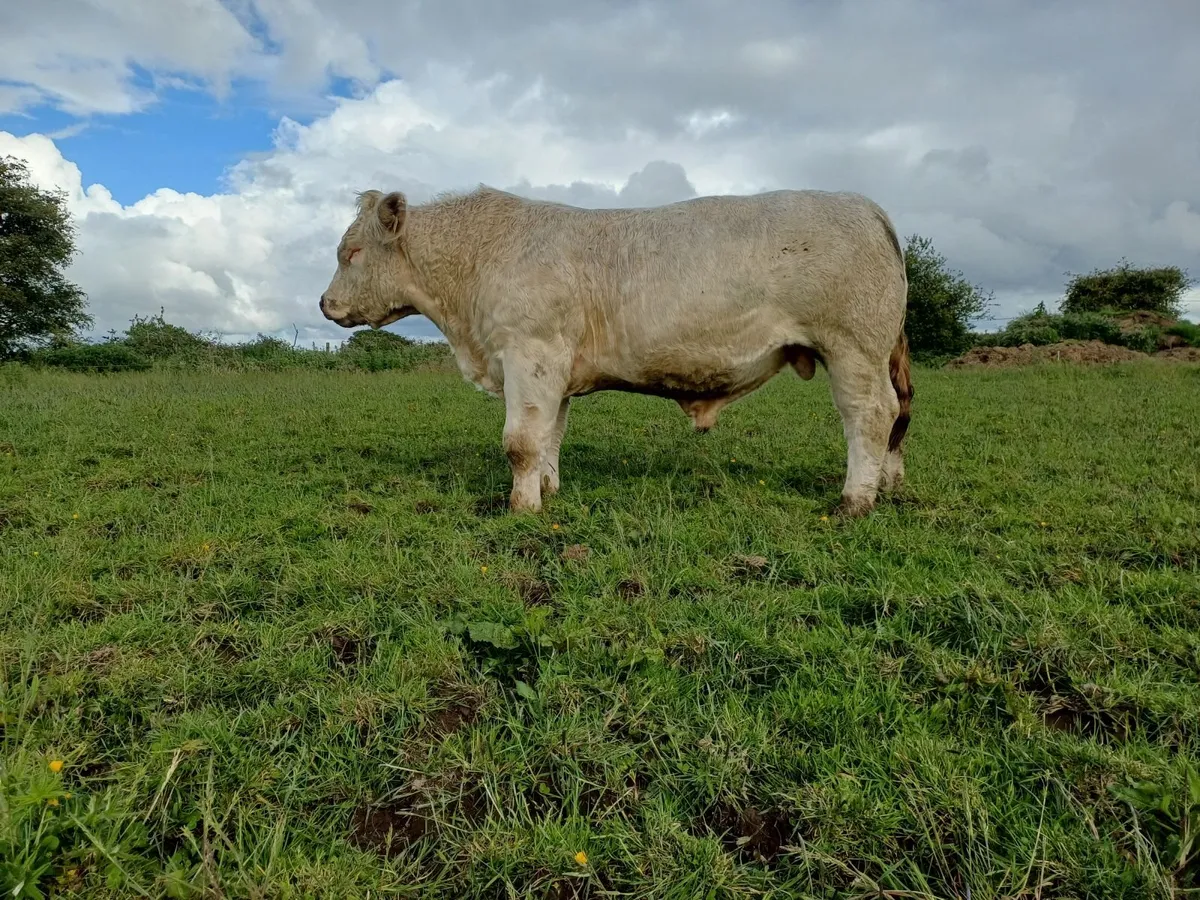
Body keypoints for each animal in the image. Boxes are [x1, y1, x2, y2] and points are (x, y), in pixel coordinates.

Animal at [319, 185, 913, 517]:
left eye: (352, 252)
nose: (325, 304)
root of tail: (863, 205)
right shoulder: (554, 368)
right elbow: (550, 435)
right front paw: (549, 490)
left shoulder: (529, 353)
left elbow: (520, 442)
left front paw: (521, 508)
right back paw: (887, 483)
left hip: (853, 347)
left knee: (871, 415)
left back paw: (855, 500)